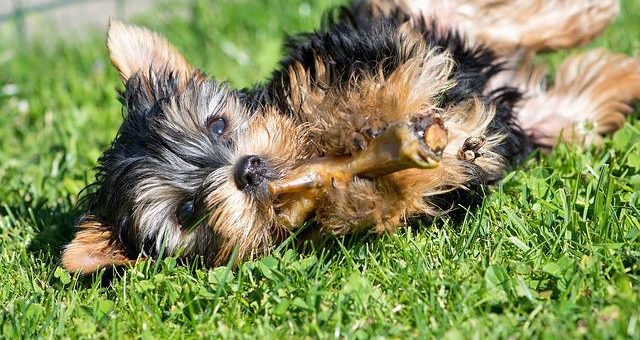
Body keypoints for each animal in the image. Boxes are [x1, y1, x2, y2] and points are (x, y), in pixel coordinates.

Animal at [61, 0, 640, 274]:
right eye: (187, 212)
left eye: (217, 125)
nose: (247, 169)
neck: (306, 155)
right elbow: (396, 199)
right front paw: (358, 190)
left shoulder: (344, 52)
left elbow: (346, 86)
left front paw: (359, 118)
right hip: (539, 119)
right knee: (571, 105)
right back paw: (619, 73)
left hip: (417, 19)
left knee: (482, 19)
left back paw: (585, 16)